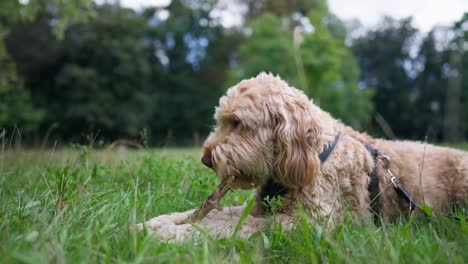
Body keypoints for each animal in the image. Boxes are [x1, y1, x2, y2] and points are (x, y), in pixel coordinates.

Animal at [141, 72, 468, 241]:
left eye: (238, 123)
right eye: (221, 120)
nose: (206, 159)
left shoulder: (309, 222)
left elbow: (229, 226)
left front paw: (176, 234)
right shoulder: (258, 209)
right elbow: (216, 214)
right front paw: (156, 224)